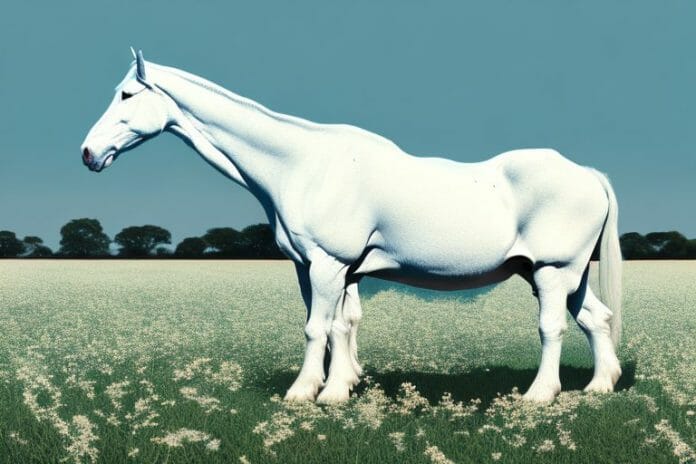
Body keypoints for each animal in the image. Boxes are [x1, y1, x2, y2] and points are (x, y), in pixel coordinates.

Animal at [81, 49, 622, 404]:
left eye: (126, 94)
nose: (88, 153)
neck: (303, 164)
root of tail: (588, 174)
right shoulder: (322, 269)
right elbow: (340, 325)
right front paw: (338, 390)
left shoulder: (328, 263)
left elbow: (317, 327)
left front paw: (304, 394)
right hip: (559, 274)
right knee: (595, 319)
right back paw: (599, 386)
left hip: (553, 271)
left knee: (553, 326)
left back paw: (539, 395)